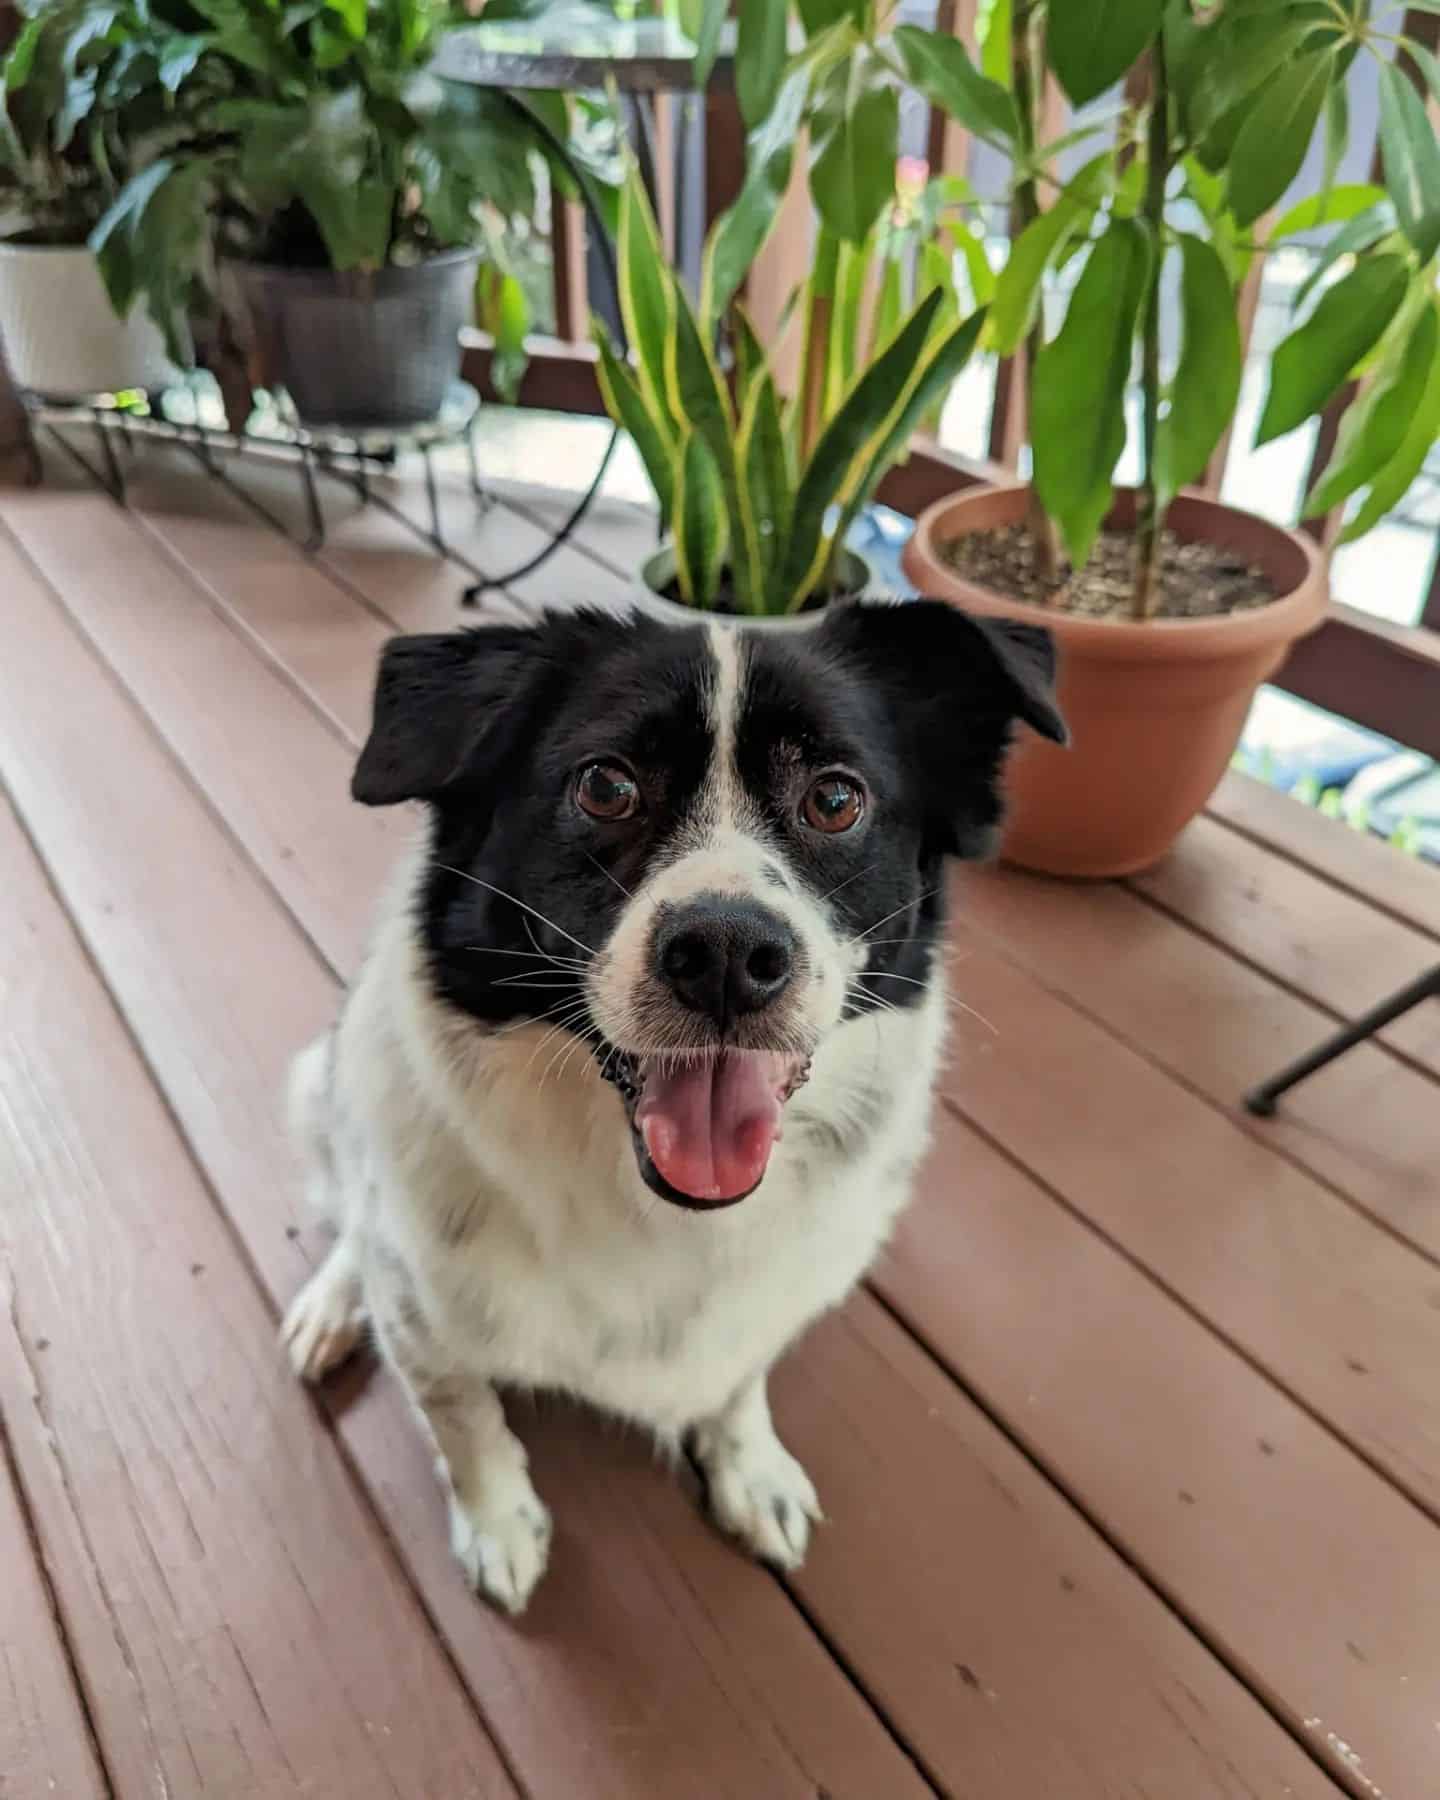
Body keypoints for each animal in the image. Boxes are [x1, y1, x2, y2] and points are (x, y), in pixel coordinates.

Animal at [284, 597, 1065, 1612]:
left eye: (836, 798)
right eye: (606, 785)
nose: (728, 952)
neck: (658, 1210)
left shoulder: (767, 1304)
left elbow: (738, 1379)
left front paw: (750, 1470)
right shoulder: (428, 1325)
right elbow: (466, 1424)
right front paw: (499, 1524)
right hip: (320, 1090)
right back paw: (333, 1304)